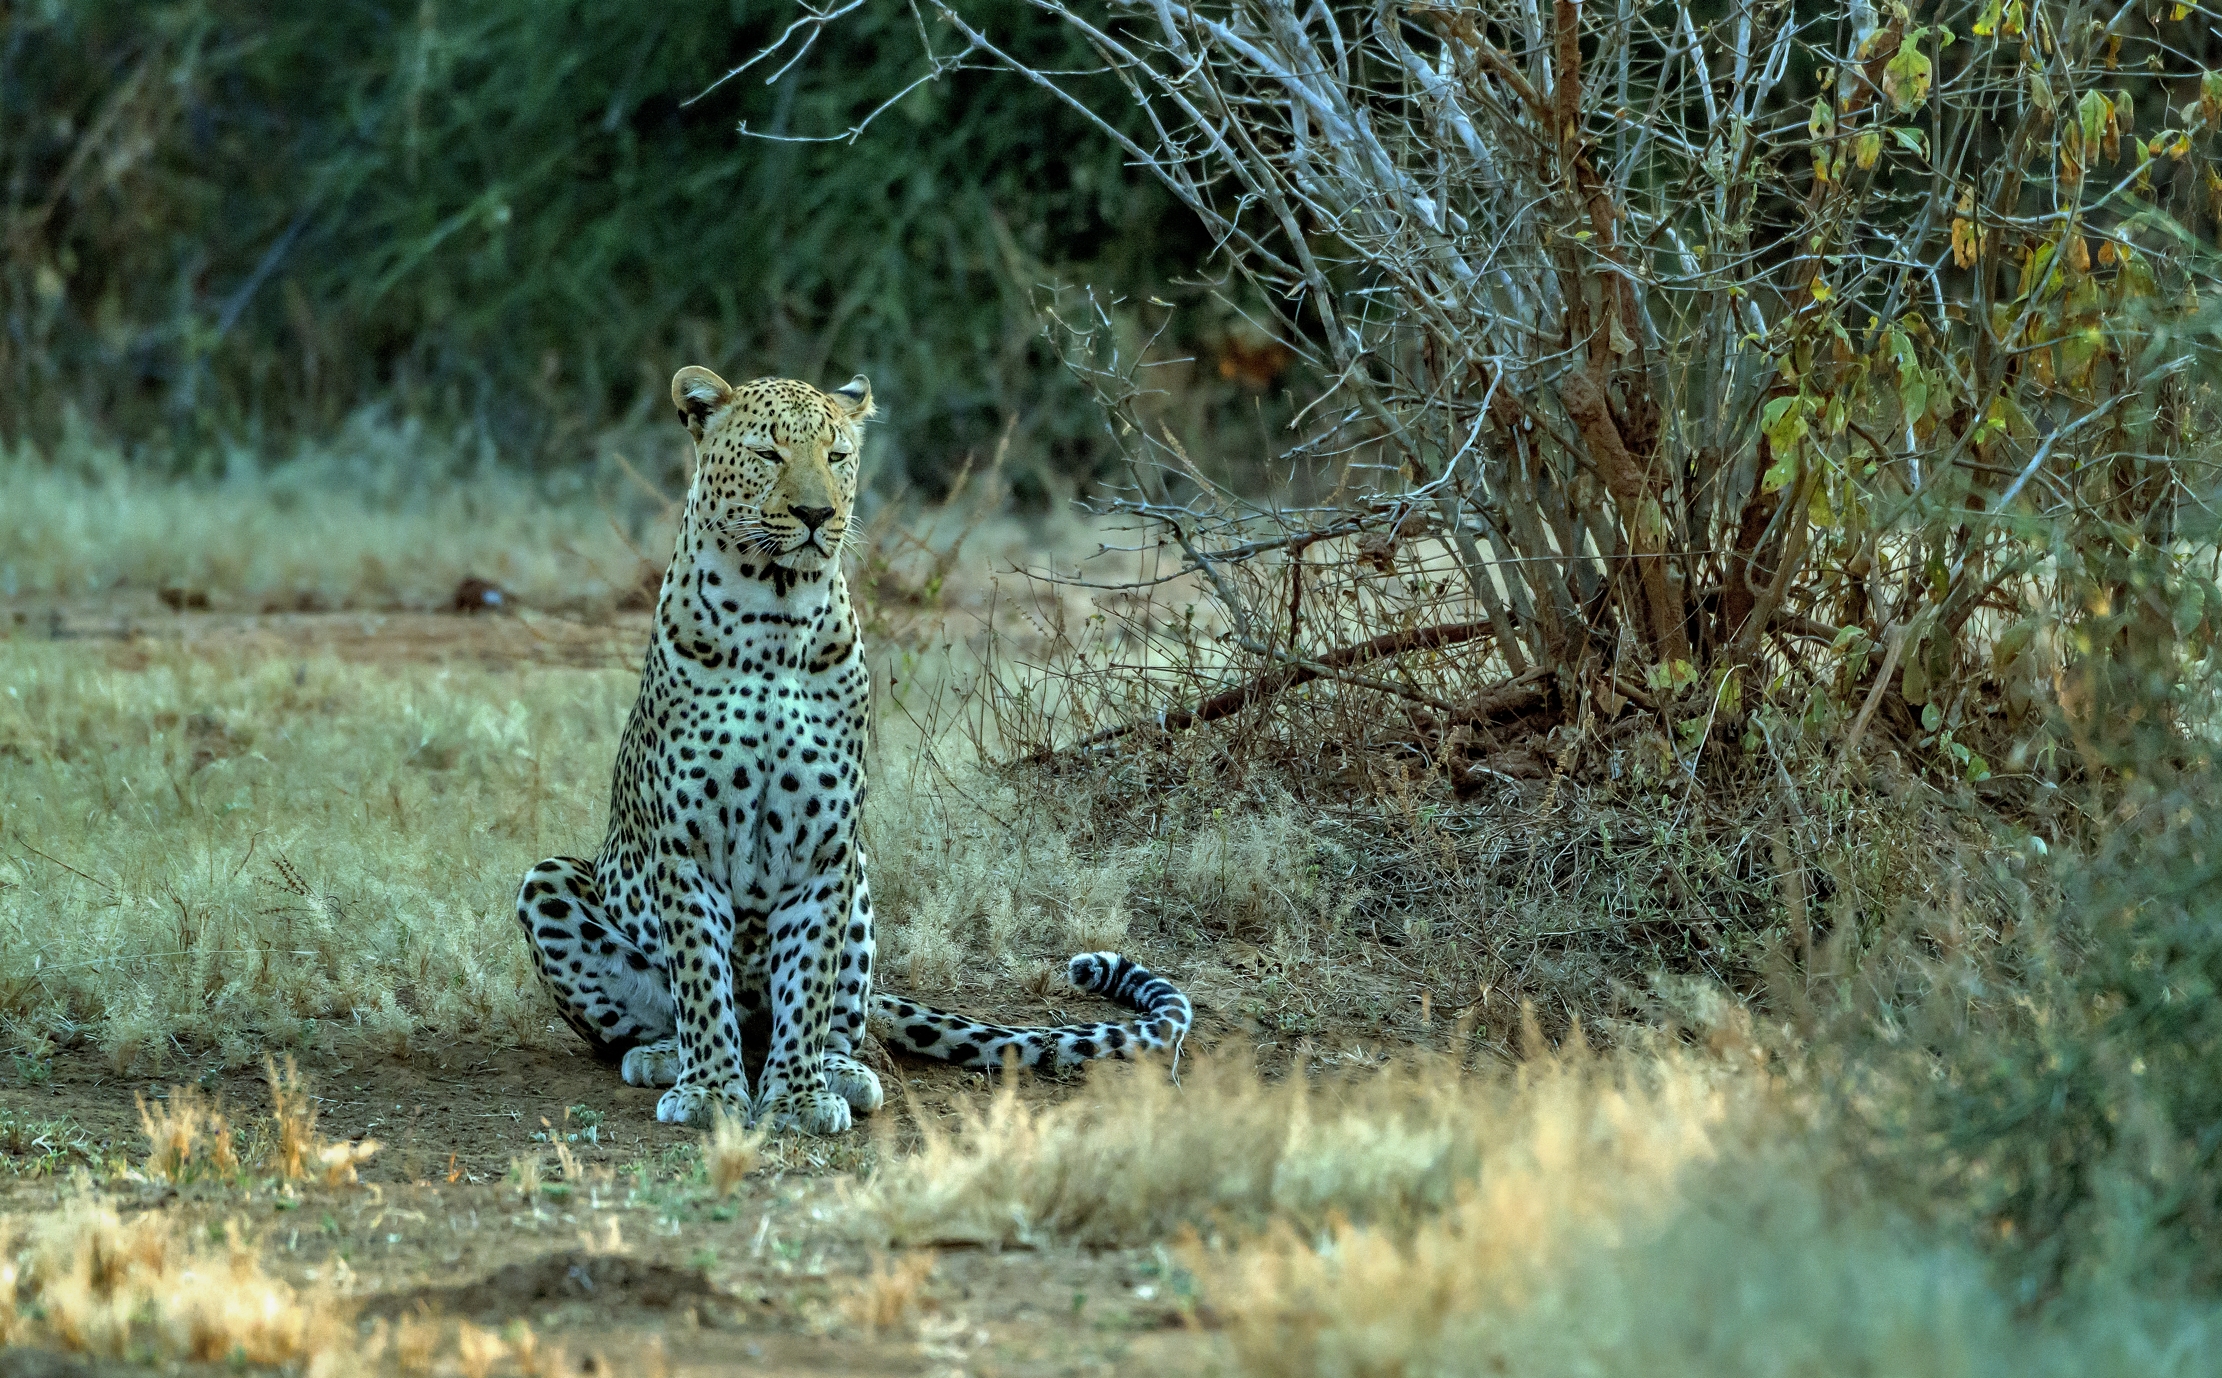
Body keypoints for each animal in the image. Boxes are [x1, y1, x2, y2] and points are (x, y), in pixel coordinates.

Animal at [514, 365, 1191, 1135]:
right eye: (769, 453)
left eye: (836, 456)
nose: (816, 513)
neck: (774, 618)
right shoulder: (687, 849)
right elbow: (702, 982)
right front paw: (712, 1092)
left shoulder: (827, 848)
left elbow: (808, 982)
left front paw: (799, 1096)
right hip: (547, 879)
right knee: (668, 1015)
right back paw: (664, 1056)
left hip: (862, 884)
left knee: (840, 1018)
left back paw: (841, 1069)